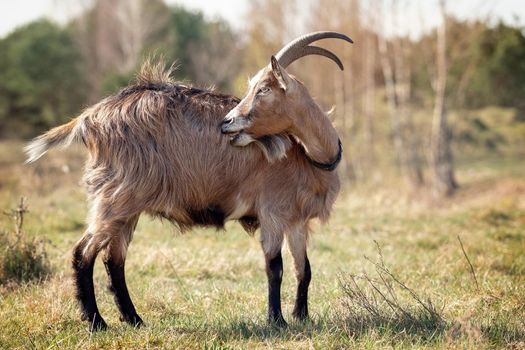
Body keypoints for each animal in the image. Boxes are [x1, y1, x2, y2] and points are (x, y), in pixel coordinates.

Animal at [24, 30, 352, 330]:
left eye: (263, 89)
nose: (227, 122)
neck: (307, 155)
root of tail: (88, 119)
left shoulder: (297, 220)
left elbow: (303, 269)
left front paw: (302, 316)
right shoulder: (271, 212)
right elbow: (275, 267)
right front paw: (277, 321)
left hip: (125, 206)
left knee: (114, 259)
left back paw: (134, 319)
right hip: (114, 198)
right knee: (84, 253)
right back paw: (96, 322)